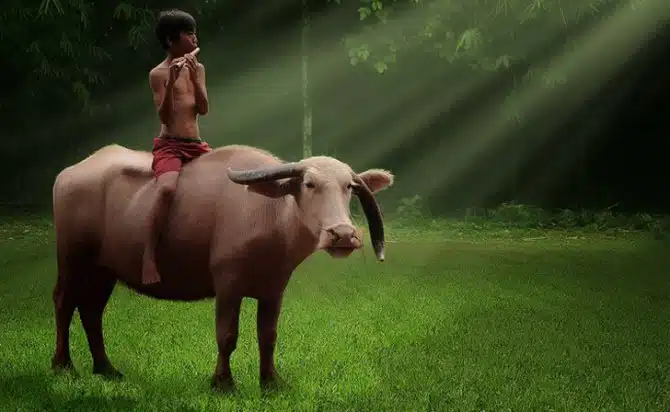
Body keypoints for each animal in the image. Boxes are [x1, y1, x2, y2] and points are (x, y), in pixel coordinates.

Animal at [50, 143, 394, 393]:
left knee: (92, 311)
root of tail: (69, 173)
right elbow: (227, 335)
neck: (269, 216)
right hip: (72, 259)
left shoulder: (274, 290)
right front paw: (223, 383)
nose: (343, 234)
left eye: (349, 187)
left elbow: (268, 336)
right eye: (309, 183)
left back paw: (106, 369)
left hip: (103, 270)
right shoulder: (228, 285)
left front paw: (271, 382)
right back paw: (63, 366)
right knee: (64, 302)